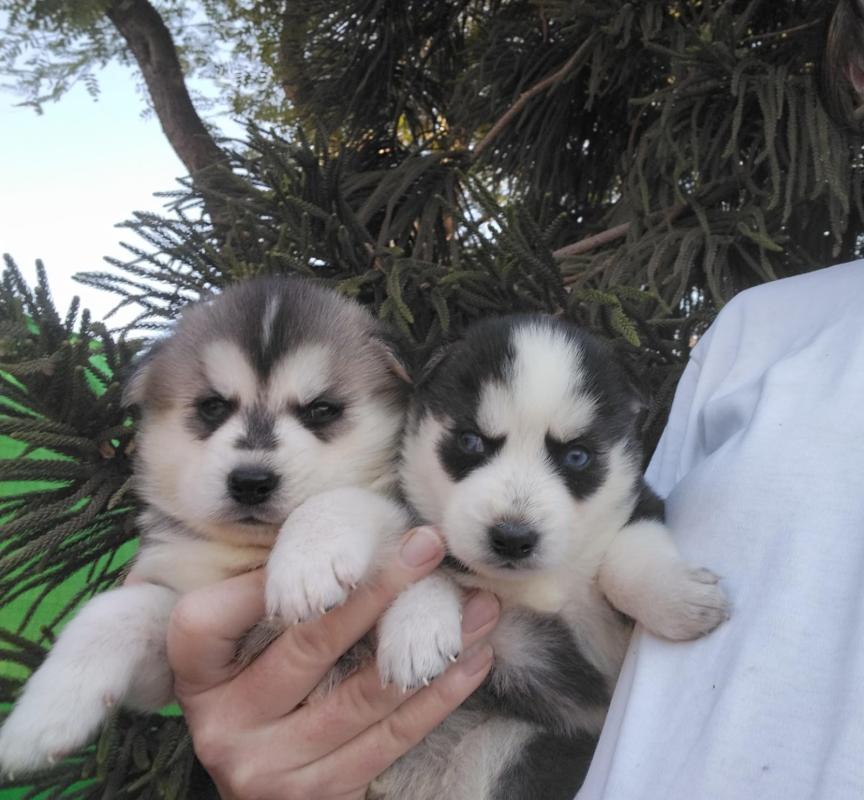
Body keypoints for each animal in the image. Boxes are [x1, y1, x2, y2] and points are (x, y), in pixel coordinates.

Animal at [0, 277, 414, 774]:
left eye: (321, 410)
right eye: (213, 406)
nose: (251, 482)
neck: (254, 551)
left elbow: (345, 500)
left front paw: (306, 567)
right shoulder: (180, 640)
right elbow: (115, 610)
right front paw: (42, 718)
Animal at [369, 314, 731, 799]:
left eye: (576, 455)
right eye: (471, 442)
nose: (513, 538)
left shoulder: (641, 505)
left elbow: (624, 557)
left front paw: (678, 600)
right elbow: (432, 558)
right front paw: (416, 627)